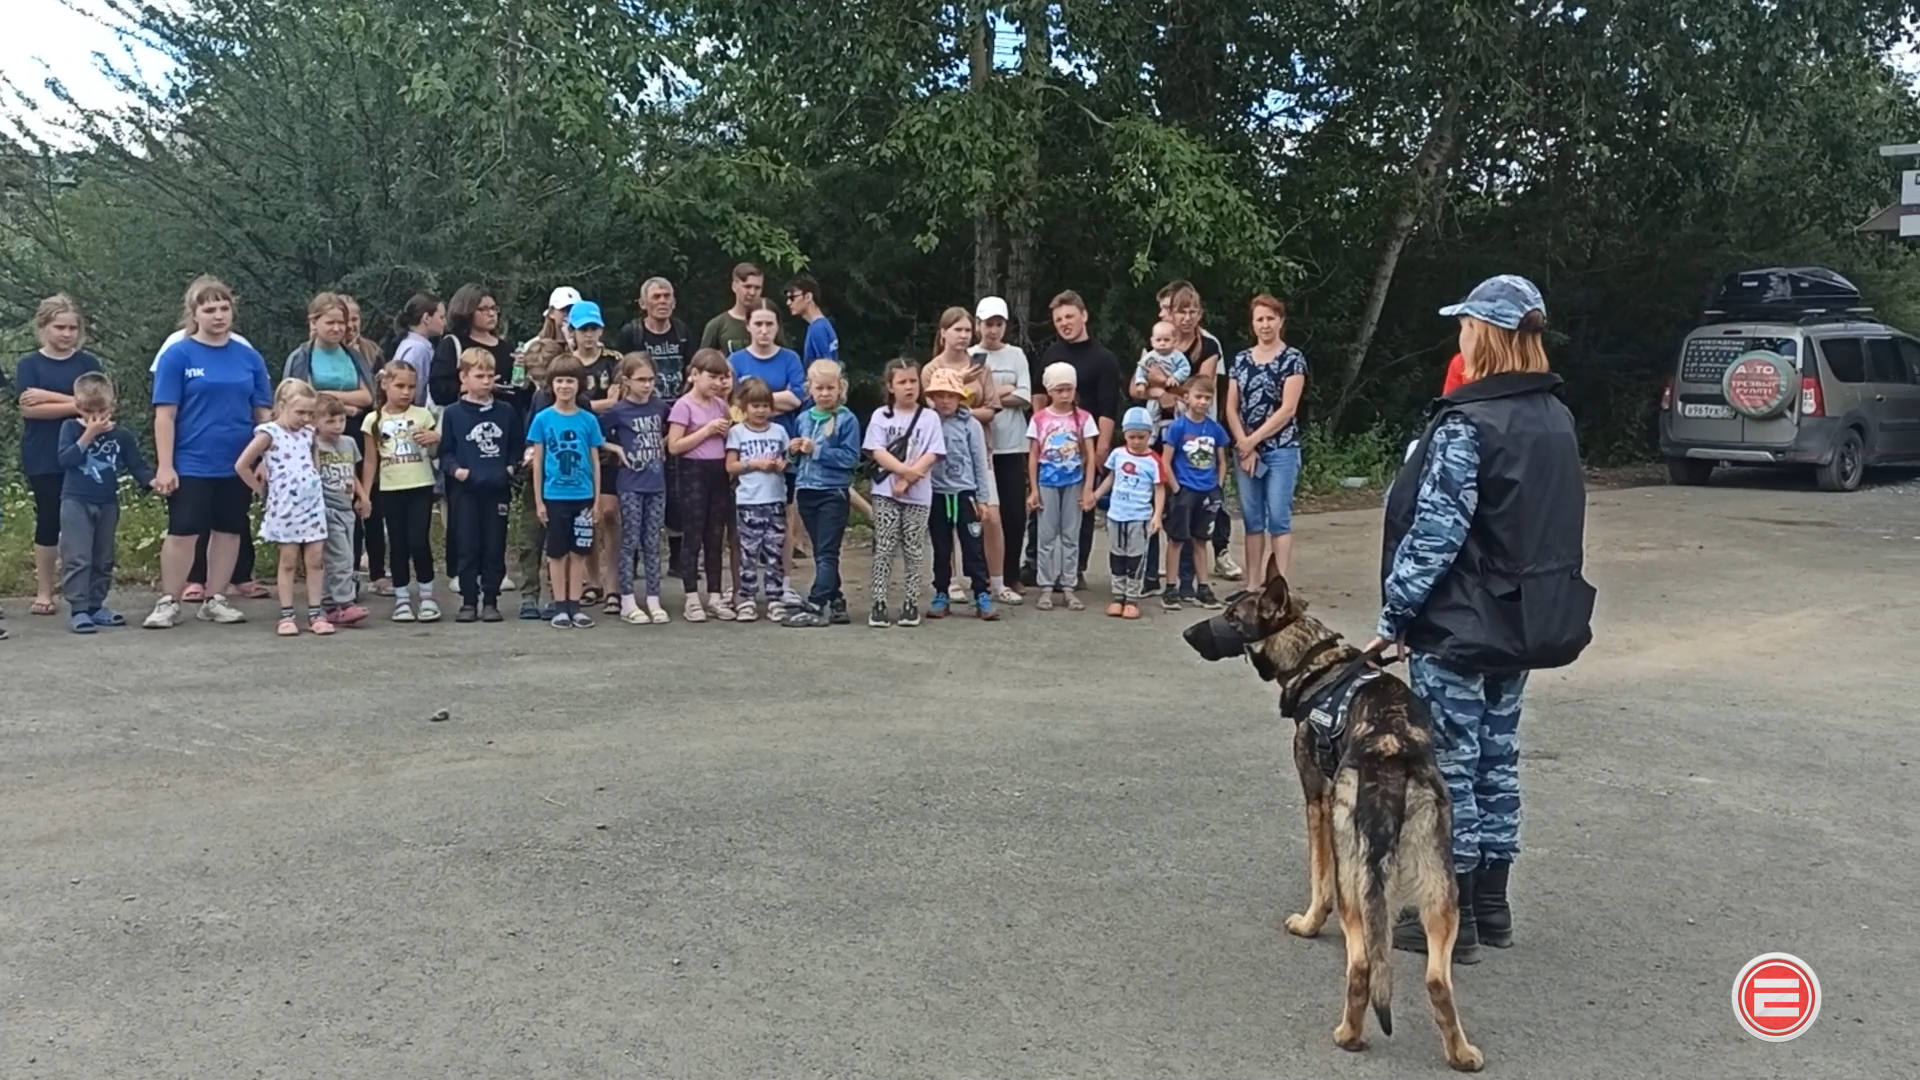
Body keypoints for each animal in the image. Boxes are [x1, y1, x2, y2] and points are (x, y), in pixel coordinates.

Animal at [1182, 576, 1482, 1060]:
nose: (1188, 634)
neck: (1313, 659)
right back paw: (1461, 1053)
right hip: (1441, 884)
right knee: (1437, 979)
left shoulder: (1317, 802)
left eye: (1232, 618)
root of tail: (1392, 753)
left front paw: (1308, 924)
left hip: (1354, 875)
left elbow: (1317, 878)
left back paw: (1349, 1034)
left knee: (1360, 965)